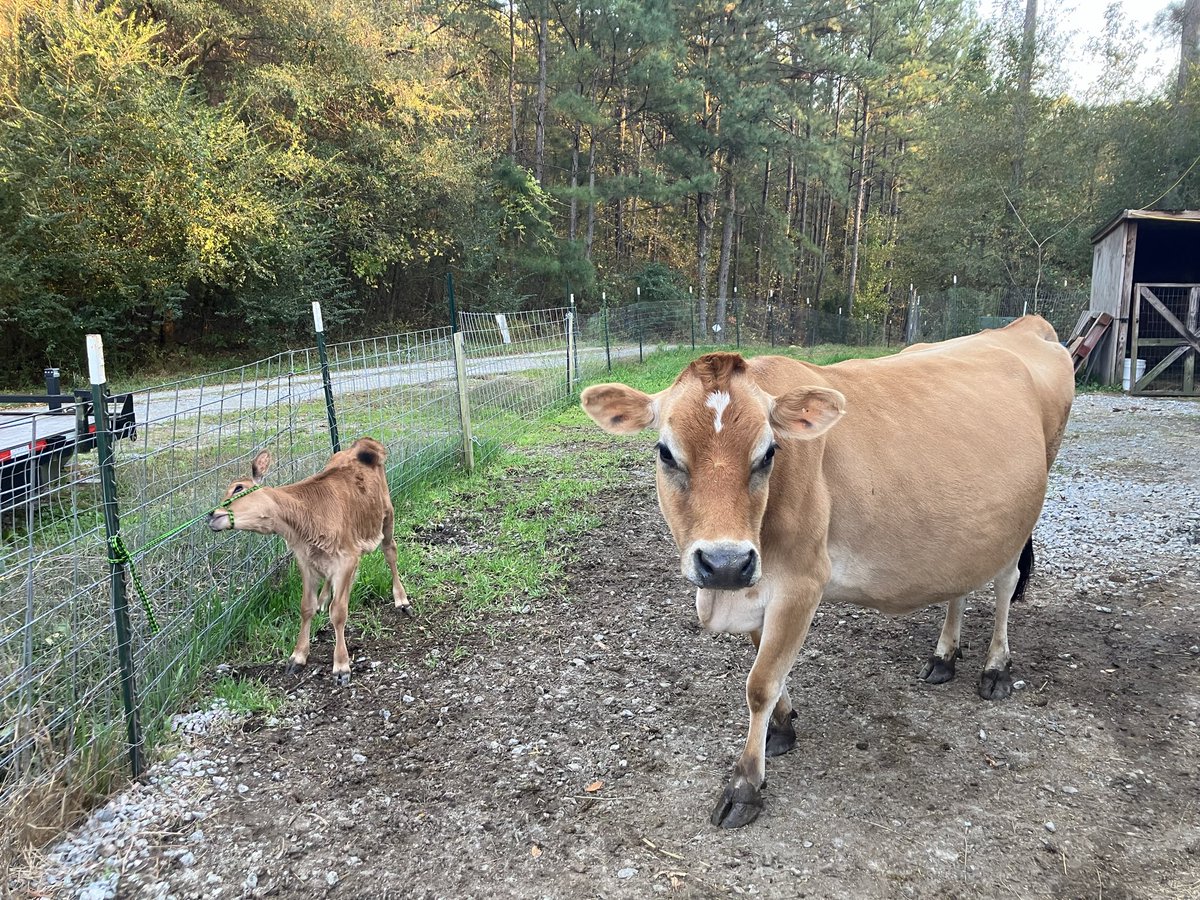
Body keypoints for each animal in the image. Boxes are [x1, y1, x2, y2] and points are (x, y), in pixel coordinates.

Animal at [207, 437, 410, 683]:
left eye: (238, 488)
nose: (211, 515)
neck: (305, 516)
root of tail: (363, 443)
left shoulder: (346, 557)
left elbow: (338, 611)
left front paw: (341, 665)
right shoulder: (305, 560)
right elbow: (306, 607)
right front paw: (298, 656)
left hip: (386, 515)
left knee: (390, 552)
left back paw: (401, 599)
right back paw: (324, 598)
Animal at [580, 315, 1074, 829]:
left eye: (769, 452)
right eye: (665, 452)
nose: (724, 562)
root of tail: (1023, 327)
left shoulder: (802, 583)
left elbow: (761, 684)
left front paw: (744, 785)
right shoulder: (757, 584)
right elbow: (767, 667)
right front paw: (782, 727)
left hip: (1021, 518)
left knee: (1005, 585)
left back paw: (996, 668)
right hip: (966, 533)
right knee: (959, 584)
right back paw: (944, 656)